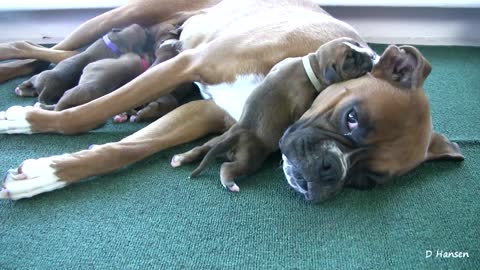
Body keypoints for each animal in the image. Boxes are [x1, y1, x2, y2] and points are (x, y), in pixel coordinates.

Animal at [15, 24, 147, 105]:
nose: (146, 29)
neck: (120, 40)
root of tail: (47, 88)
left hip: (39, 79)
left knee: (31, 83)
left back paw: (21, 89)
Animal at [171, 37, 376, 192]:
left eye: (355, 44)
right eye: (350, 57)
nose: (373, 55)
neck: (311, 64)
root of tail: (239, 131)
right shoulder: (301, 101)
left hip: (217, 141)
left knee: (201, 149)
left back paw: (180, 158)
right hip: (249, 158)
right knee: (228, 167)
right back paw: (230, 184)